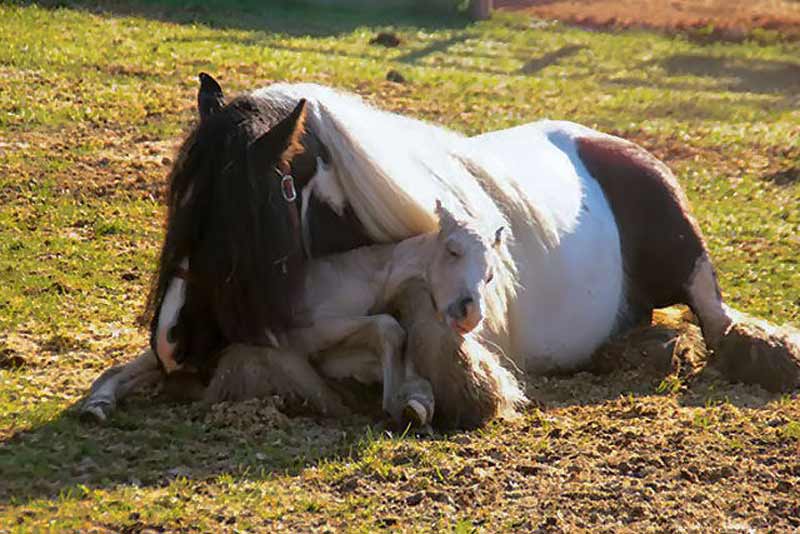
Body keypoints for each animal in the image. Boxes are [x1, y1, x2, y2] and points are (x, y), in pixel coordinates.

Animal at [81, 74, 800, 428]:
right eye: (179, 206)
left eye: (241, 219)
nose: (173, 340)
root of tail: (606, 141)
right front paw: (103, 396)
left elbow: (397, 345)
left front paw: (418, 396)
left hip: (689, 256)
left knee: (718, 318)